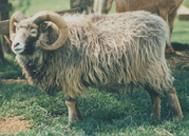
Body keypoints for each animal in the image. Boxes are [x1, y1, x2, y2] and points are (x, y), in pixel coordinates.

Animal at [9, 10, 183, 125]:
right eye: (16, 29)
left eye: (33, 31)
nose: (15, 45)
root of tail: (159, 22)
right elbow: (75, 102)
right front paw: (79, 119)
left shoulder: (69, 75)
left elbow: (69, 101)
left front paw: (71, 124)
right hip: (145, 71)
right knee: (155, 94)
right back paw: (155, 118)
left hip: (155, 67)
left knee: (170, 90)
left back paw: (177, 117)